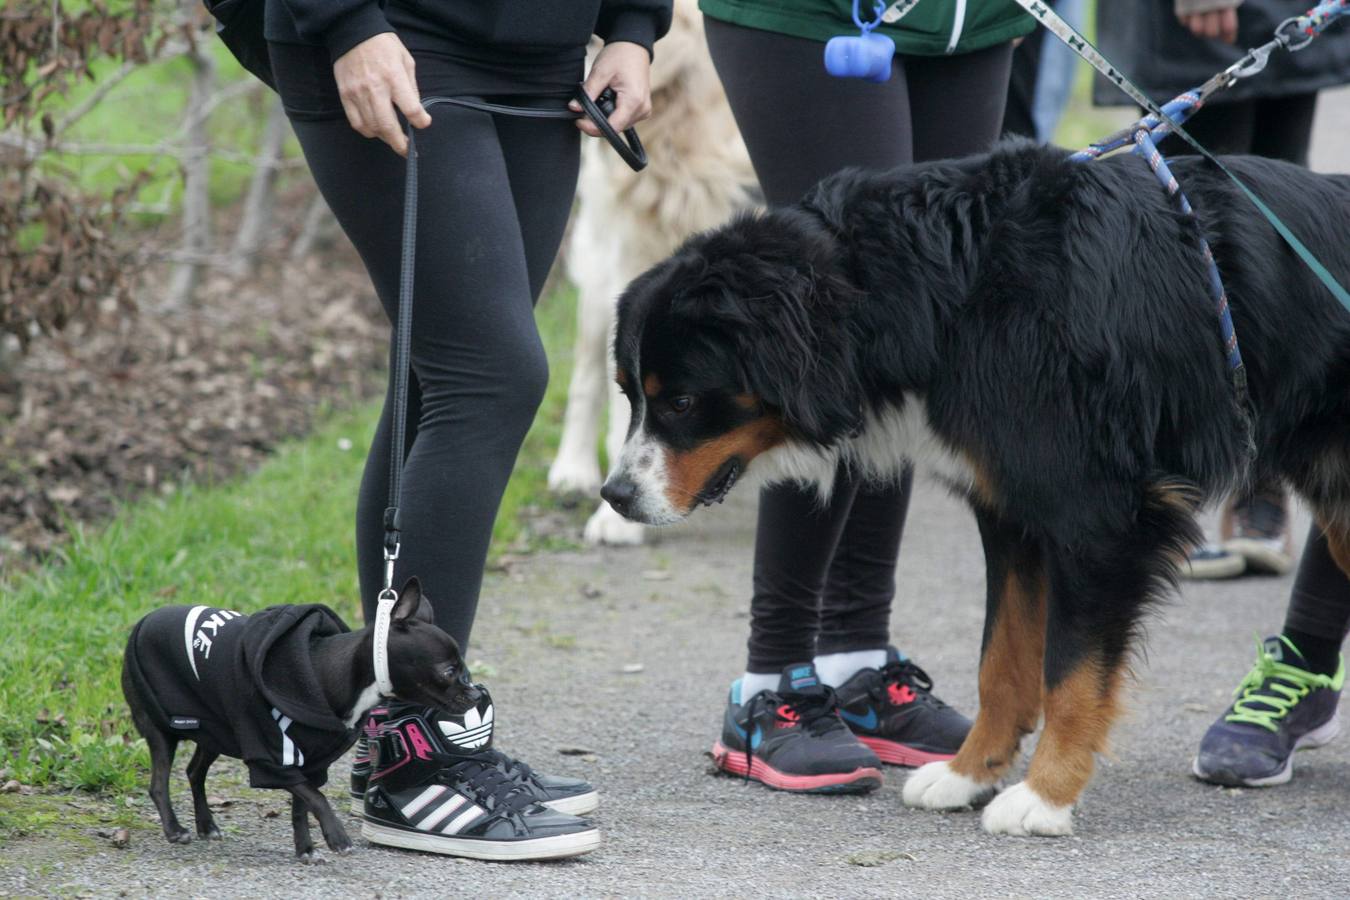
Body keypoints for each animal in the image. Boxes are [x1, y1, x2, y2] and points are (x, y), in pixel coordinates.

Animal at [604, 141, 1350, 836]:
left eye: (679, 402)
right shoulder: (1009, 509)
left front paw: (1045, 796)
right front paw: (970, 773)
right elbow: (1003, 662)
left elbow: (1071, 675)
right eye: (630, 395)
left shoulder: (1097, 515)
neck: (945, 286)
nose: (616, 495)